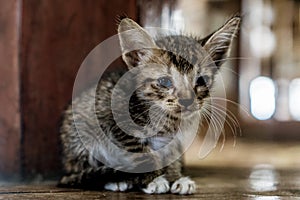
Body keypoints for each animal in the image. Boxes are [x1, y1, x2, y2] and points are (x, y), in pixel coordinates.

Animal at [59, 16, 240, 195]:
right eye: (165, 81)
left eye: (201, 80)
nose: (187, 100)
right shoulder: (118, 122)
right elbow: (143, 155)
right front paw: (154, 179)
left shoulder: (175, 140)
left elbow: (172, 156)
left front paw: (175, 177)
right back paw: (115, 180)